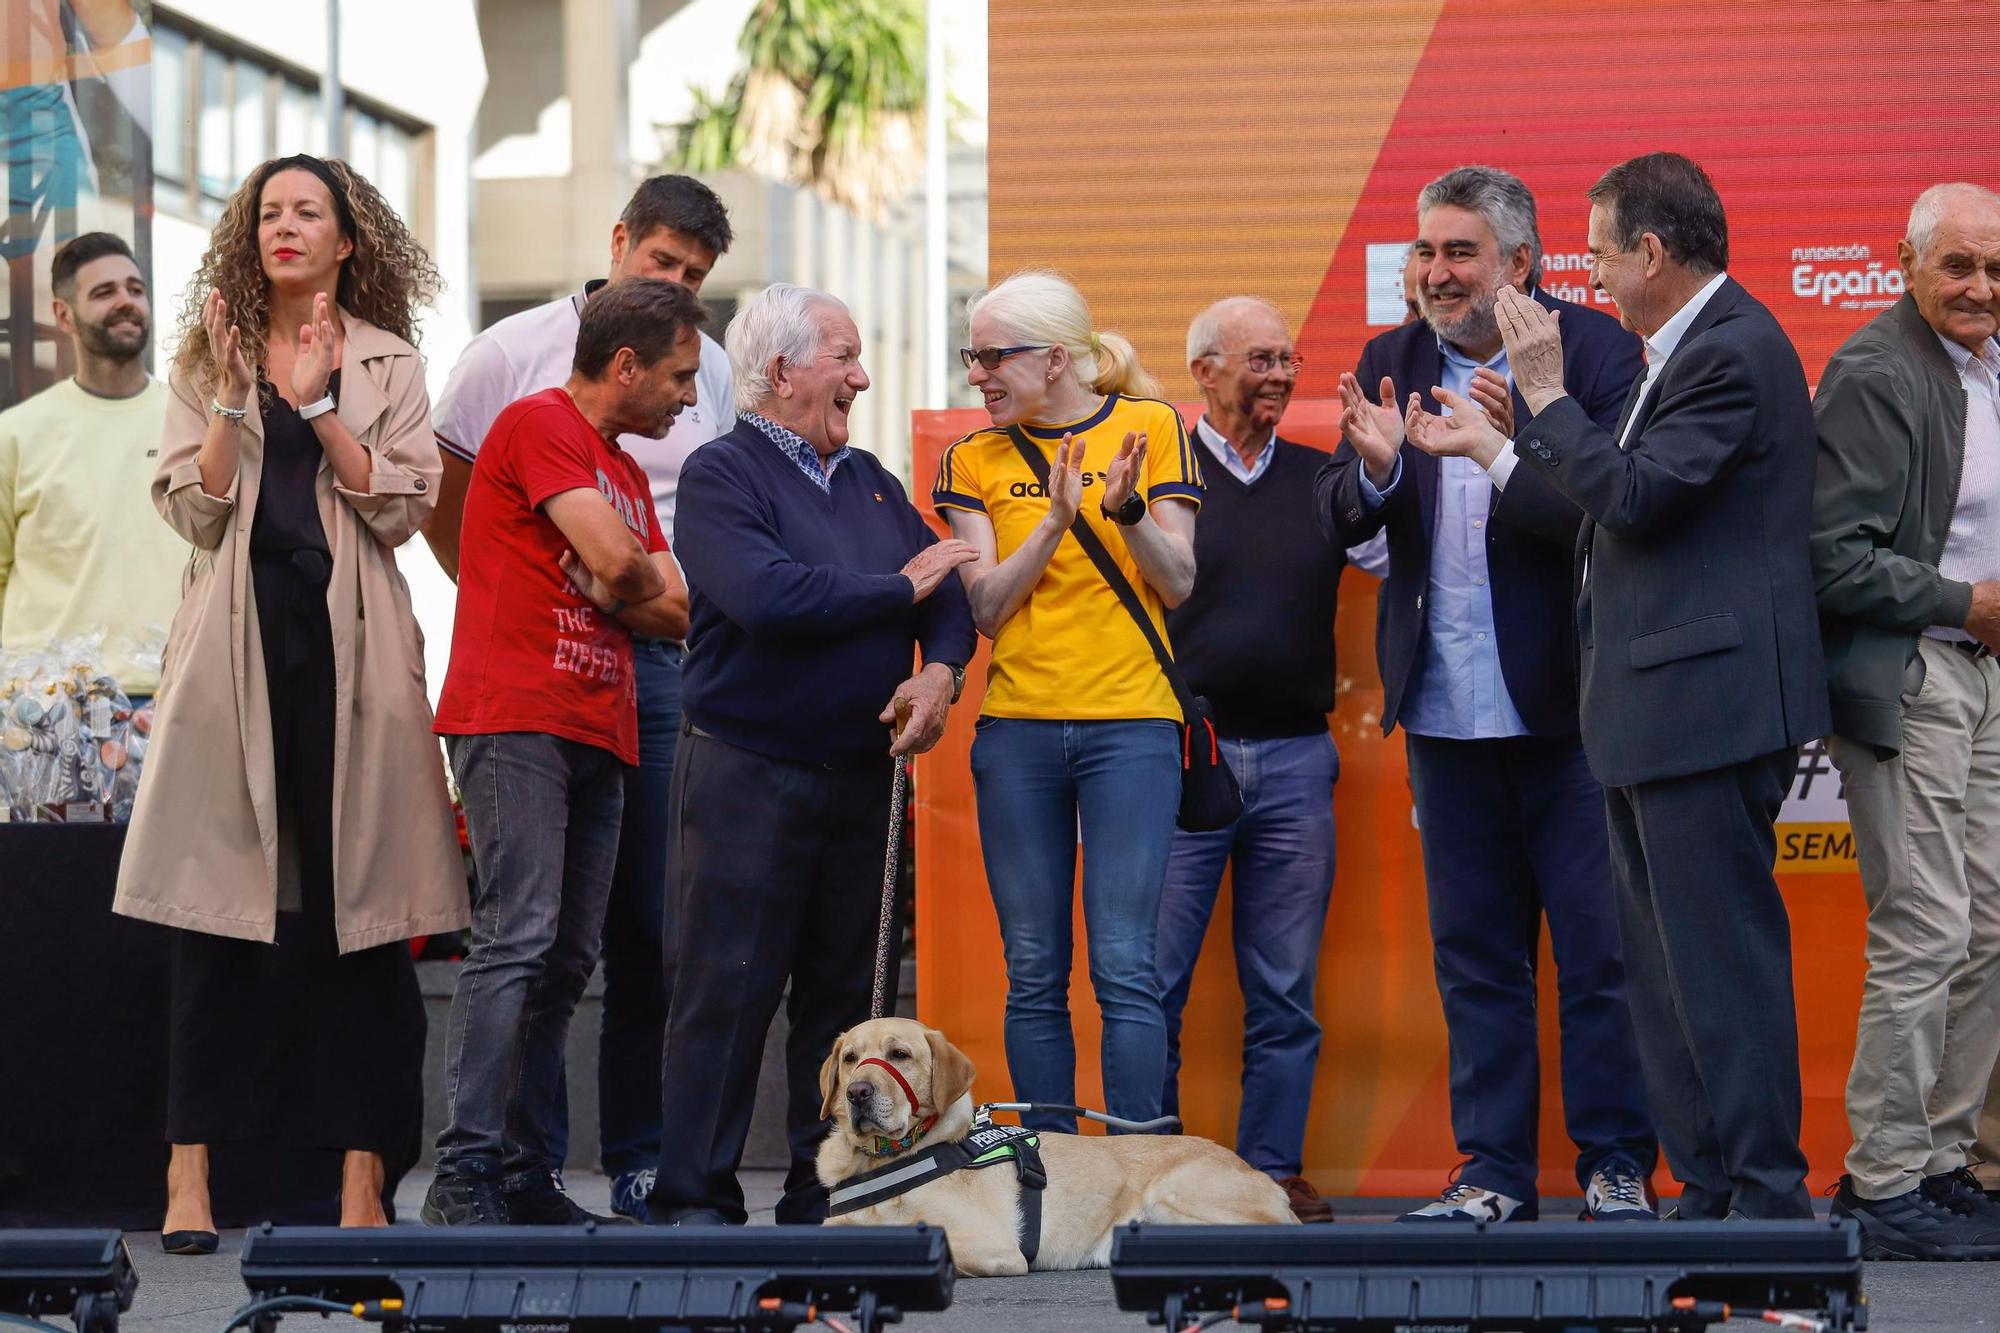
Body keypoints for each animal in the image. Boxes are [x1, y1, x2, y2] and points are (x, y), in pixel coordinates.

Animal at [812, 1020, 1296, 1272]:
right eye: (850, 1058)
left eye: (900, 1055)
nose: (857, 1092)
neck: (893, 1156)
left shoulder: (994, 1246)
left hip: (1173, 1196)